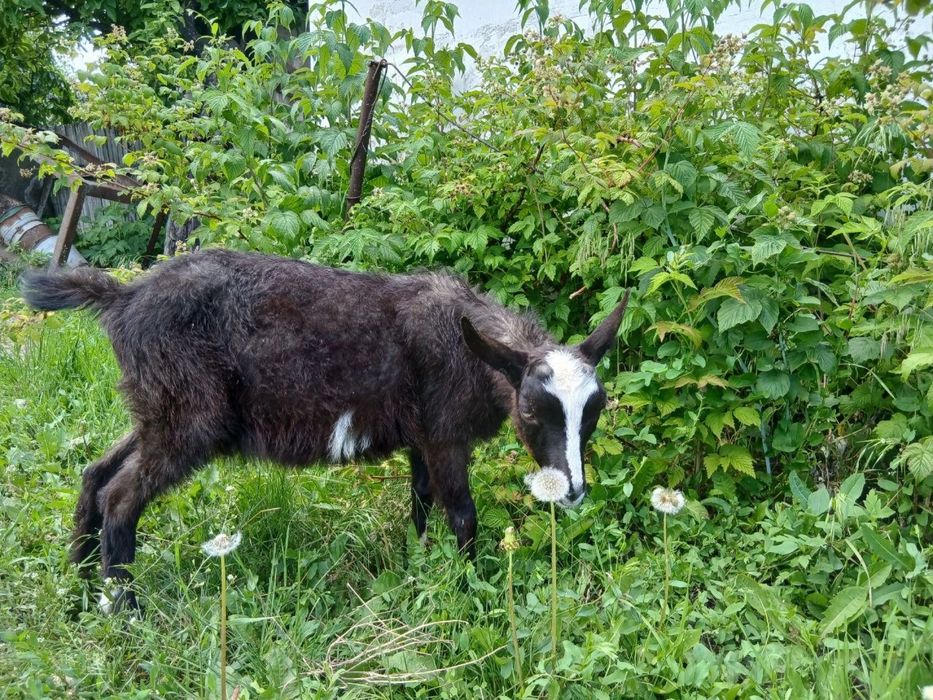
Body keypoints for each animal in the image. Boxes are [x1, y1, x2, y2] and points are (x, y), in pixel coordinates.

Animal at [21, 249, 629, 612]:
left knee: (96, 474)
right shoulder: (443, 435)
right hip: (188, 419)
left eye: (594, 409)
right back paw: (126, 610)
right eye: (531, 413)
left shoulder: (420, 438)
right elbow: (462, 515)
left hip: (154, 409)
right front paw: (467, 589)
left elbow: (421, 503)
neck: (468, 348)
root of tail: (121, 299)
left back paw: (82, 585)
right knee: (122, 497)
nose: (573, 491)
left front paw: (418, 568)